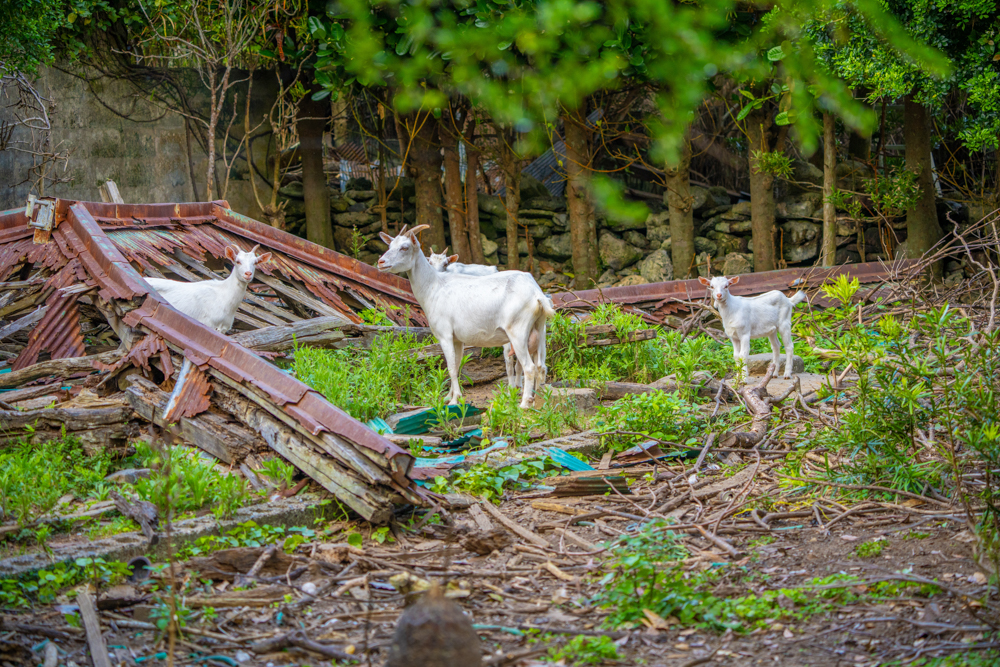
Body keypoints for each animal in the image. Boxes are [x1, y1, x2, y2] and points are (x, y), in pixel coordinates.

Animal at [376, 227, 556, 410]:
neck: (434, 287)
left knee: (529, 367)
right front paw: (449, 396)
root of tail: (536, 294)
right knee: (541, 365)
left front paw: (455, 400)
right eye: (390, 245)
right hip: (539, 328)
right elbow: (457, 366)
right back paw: (539, 401)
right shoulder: (457, 339)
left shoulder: (445, 335)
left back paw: (524, 403)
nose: (381, 262)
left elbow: (450, 367)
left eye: (404, 247)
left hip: (517, 331)